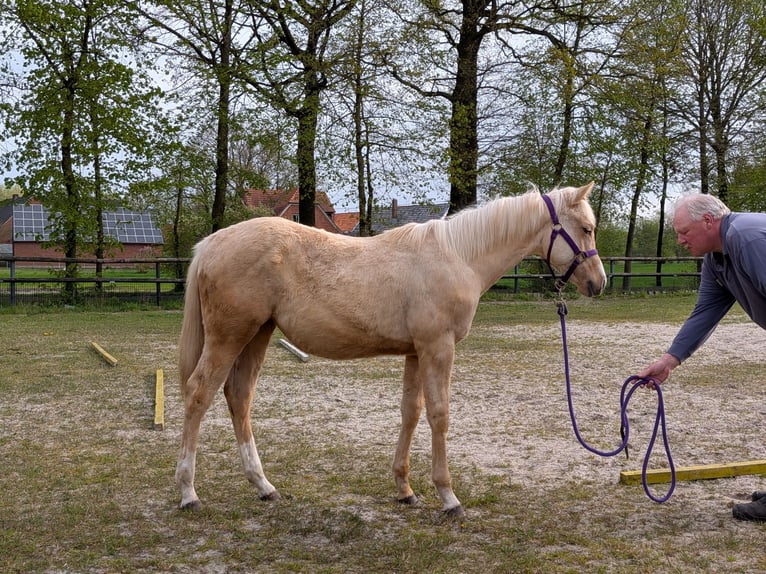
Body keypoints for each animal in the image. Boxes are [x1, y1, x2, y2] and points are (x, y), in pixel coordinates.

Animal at [175, 182, 606, 517]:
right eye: (586, 228)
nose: (598, 283)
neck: (457, 257)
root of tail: (212, 243)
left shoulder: (416, 352)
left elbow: (410, 413)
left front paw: (405, 489)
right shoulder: (437, 348)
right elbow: (439, 415)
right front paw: (448, 497)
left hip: (258, 335)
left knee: (239, 396)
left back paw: (264, 486)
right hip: (230, 337)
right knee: (199, 394)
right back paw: (188, 492)